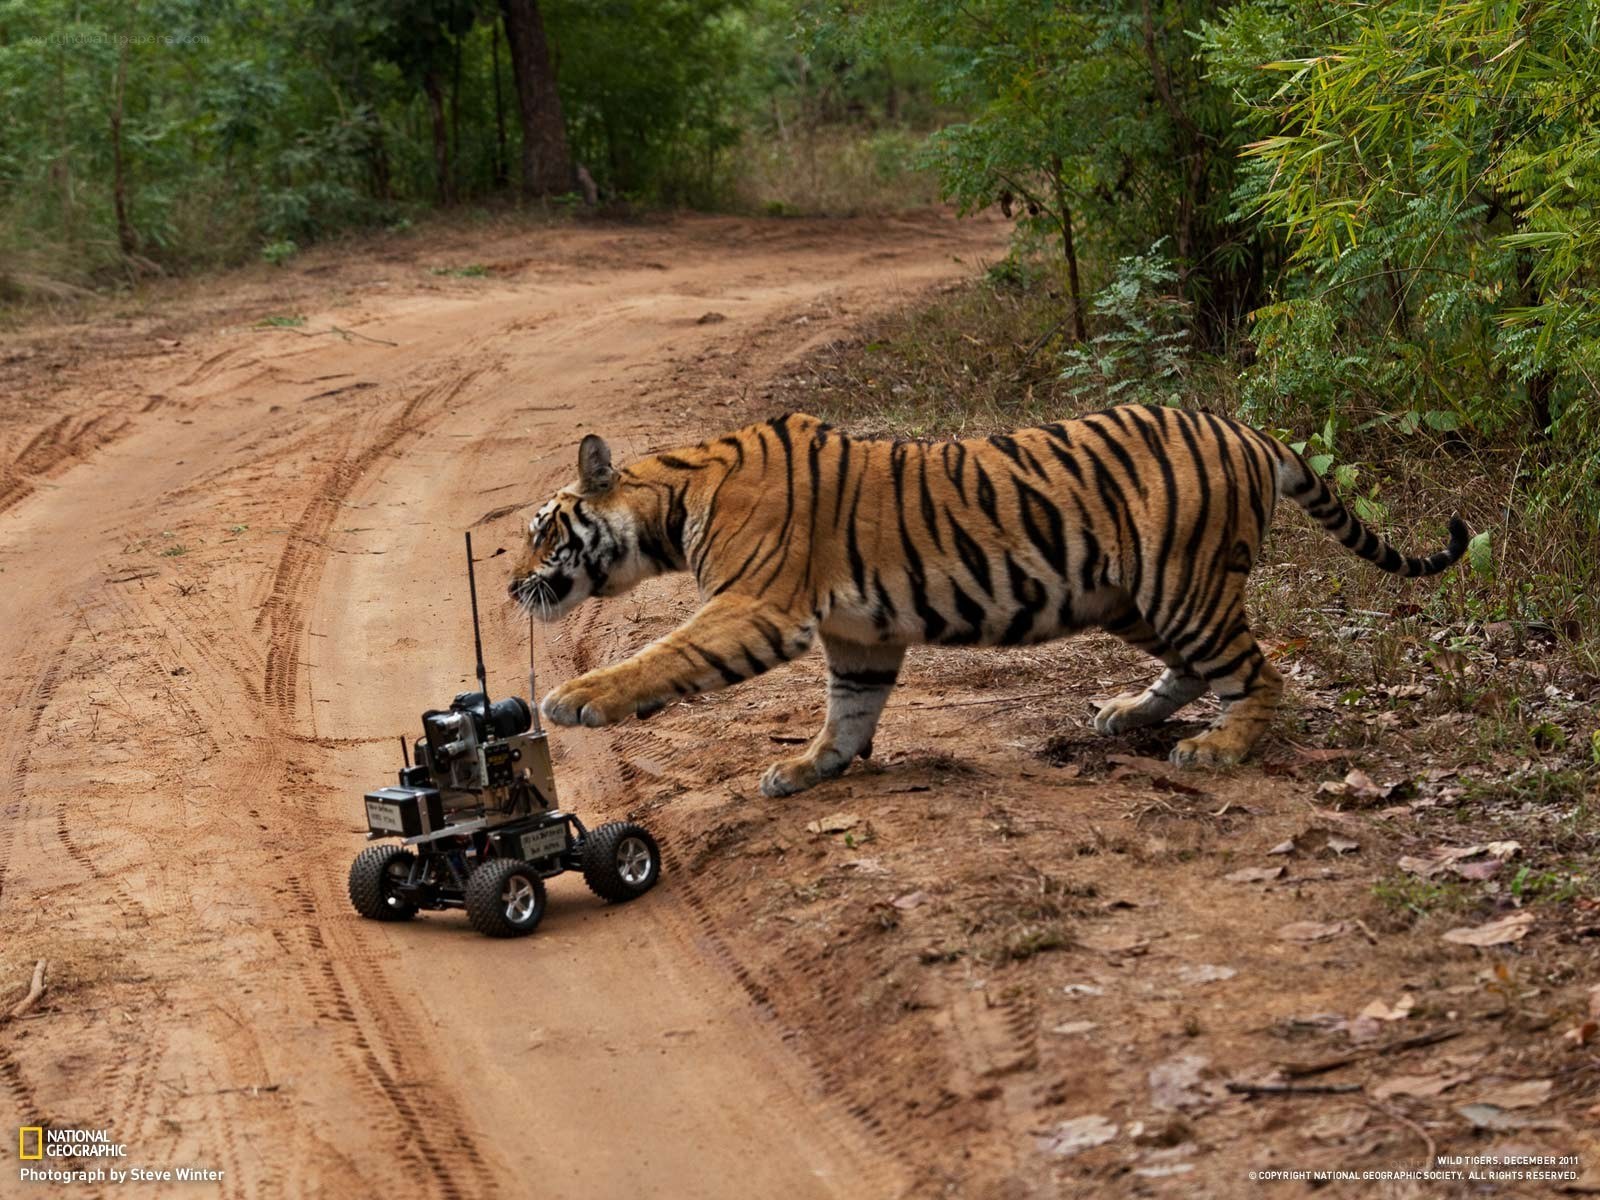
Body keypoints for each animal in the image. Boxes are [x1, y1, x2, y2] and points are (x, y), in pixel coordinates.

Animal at [509, 405, 1467, 797]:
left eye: (541, 530)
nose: (512, 585)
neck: (671, 505)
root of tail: (1251, 430)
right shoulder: (860, 636)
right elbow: (849, 712)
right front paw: (809, 768)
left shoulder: (755, 606)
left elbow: (662, 656)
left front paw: (577, 699)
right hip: (1132, 596)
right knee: (1202, 669)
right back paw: (1126, 714)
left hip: (1181, 583)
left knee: (1262, 675)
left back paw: (1219, 750)